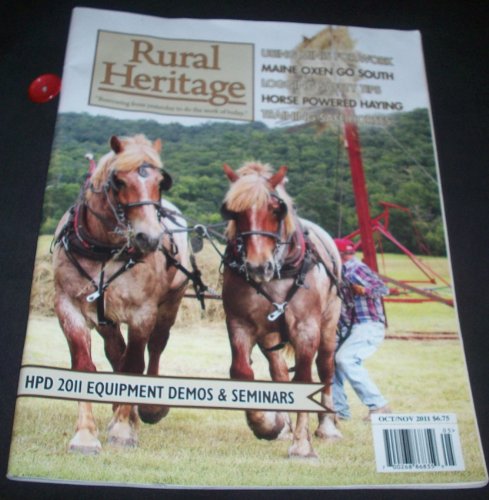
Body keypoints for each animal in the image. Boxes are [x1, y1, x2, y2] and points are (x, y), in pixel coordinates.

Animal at [52, 134, 189, 454]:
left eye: (161, 182)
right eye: (118, 181)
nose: (149, 238)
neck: (105, 249)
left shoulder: (142, 313)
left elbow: (134, 365)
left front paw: (124, 430)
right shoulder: (69, 307)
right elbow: (85, 366)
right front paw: (85, 435)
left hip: (170, 303)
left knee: (155, 347)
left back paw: (147, 410)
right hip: (106, 317)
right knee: (116, 351)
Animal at [220, 162, 343, 458]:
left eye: (276, 209)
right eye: (233, 212)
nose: (257, 266)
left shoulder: (306, 328)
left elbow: (304, 378)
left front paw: (302, 445)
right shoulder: (240, 323)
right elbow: (241, 371)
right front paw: (267, 424)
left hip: (328, 325)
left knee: (325, 367)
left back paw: (327, 426)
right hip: (270, 335)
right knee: (278, 372)